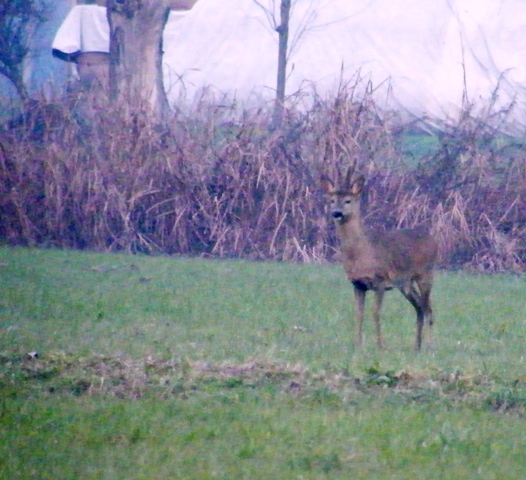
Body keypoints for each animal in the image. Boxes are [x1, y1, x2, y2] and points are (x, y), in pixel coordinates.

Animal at [324, 167, 440, 350]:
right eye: (332, 200)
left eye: (348, 200)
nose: (336, 213)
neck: (361, 254)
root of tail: (434, 240)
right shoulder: (357, 284)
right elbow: (359, 314)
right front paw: (358, 345)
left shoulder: (380, 280)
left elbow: (375, 312)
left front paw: (380, 346)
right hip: (405, 283)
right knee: (419, 307)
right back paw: (417, 346)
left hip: (425, 274)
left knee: (428, 309)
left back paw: (429, 347)